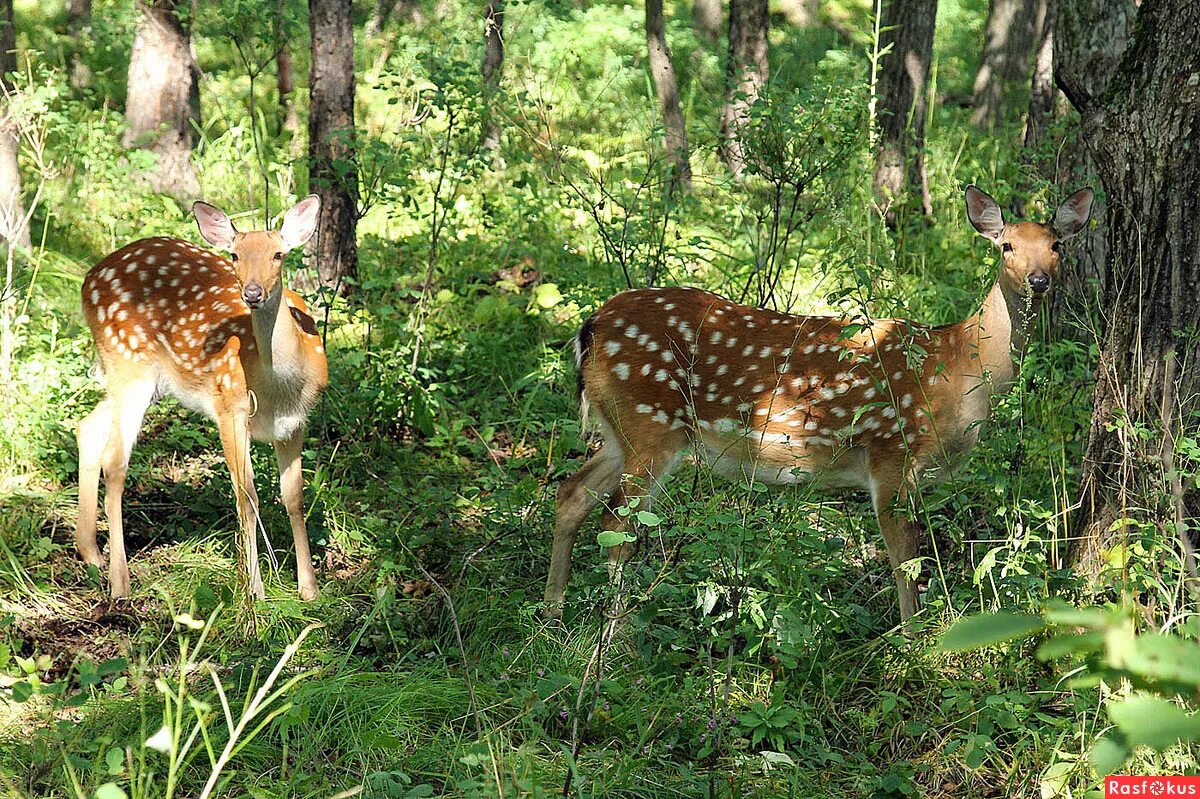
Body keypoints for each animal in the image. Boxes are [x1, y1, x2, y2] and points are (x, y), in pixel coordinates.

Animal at [77, 197, 328, 597]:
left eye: (278, 254)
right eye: (235, 255)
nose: (252, 293)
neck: (279, 387)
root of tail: (89, 277)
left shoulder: (295, 422)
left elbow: (294, 497)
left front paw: (310, 589)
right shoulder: (230, 407)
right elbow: (247, 495)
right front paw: (254, 591)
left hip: (144, 379)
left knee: (88, 427)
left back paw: (91, 554)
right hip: (128, 360)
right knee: (115, 461)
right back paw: (120, 581)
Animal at [549, 184, 1094, 614]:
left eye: (1056, 245)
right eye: (1005, 246)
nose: (1039, 280)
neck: (957, 370)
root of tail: (590, 327)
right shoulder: (891, 453)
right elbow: (905, 560)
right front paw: (914, 644)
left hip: (622, 426)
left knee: (571, 494)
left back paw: (554, 613)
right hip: (652, 421)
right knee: (615, 522)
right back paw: (614, 632)